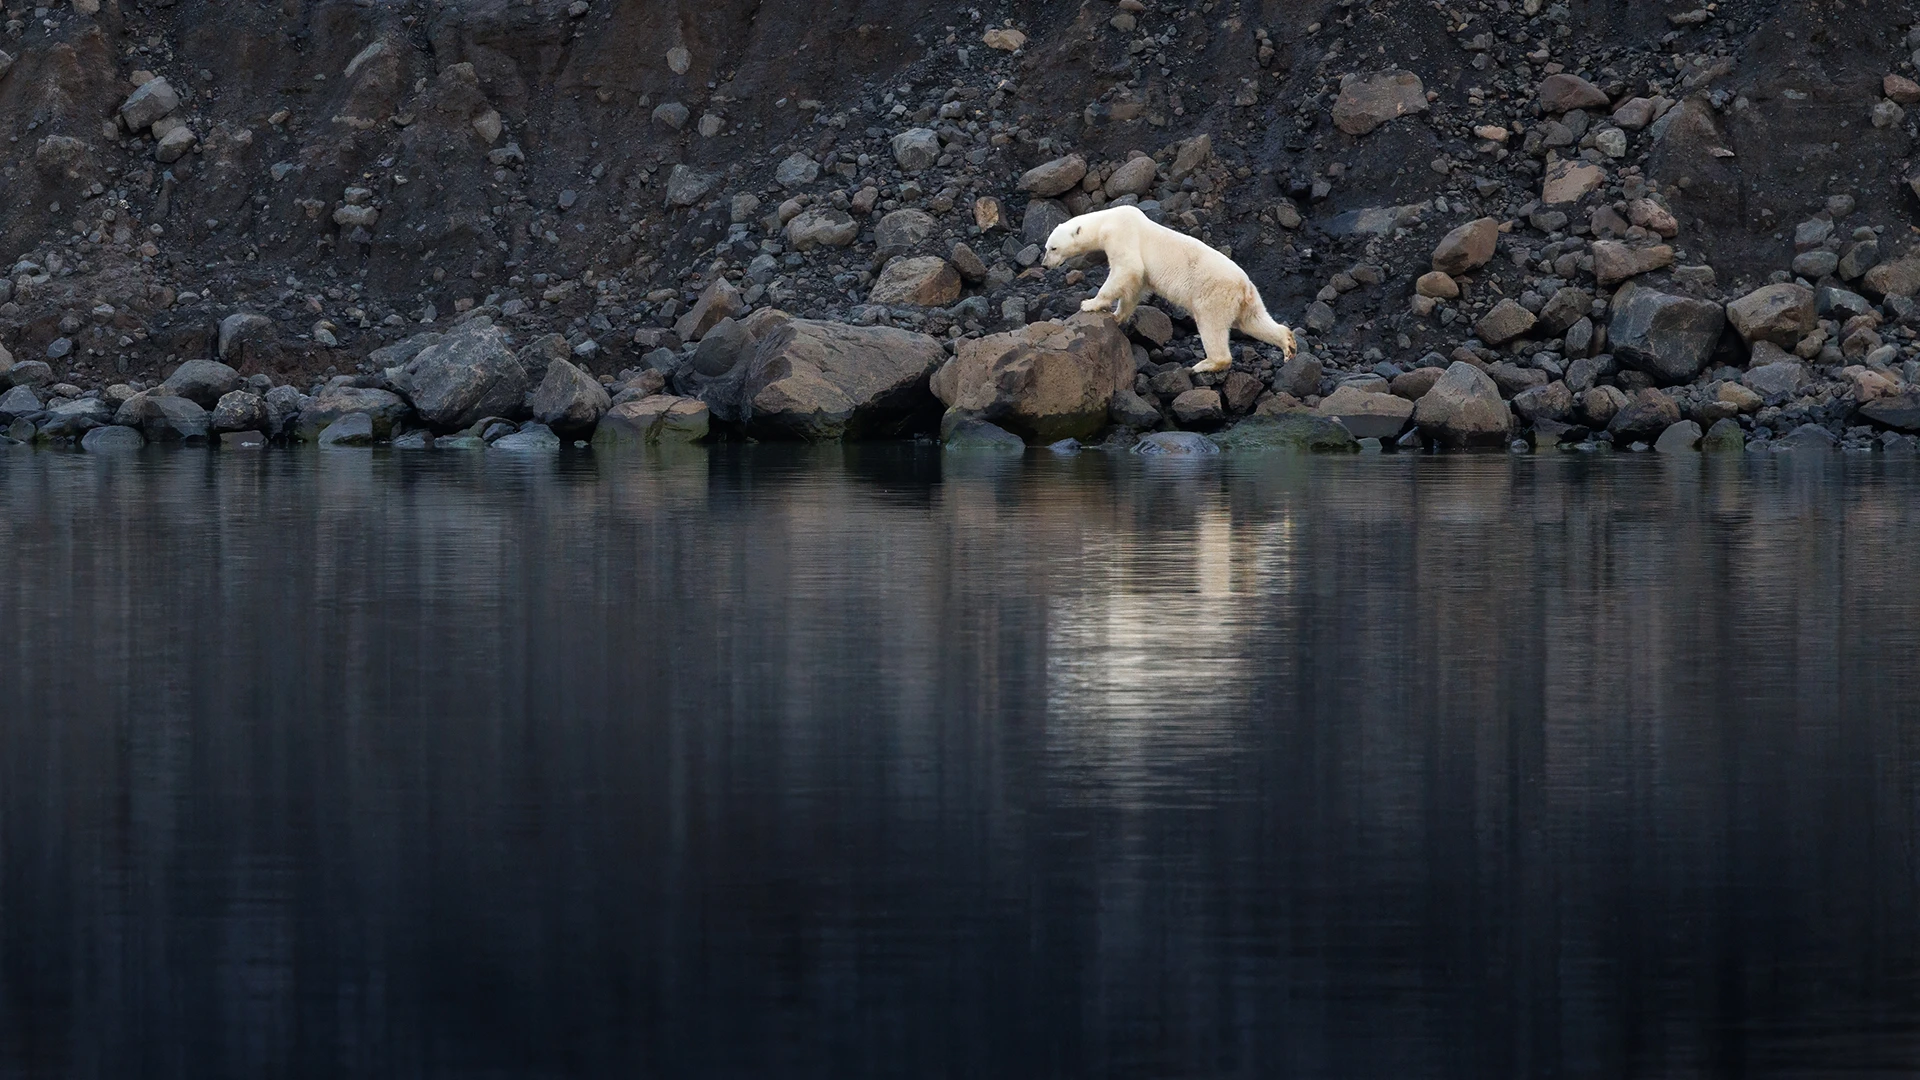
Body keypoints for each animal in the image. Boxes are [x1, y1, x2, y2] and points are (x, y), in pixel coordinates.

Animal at [1042, 204, 1298, 375]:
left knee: (1212, 326)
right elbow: (1135, 287)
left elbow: (1127, 269)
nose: (1044, 264)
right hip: (1246, 299)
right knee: (1254, 321)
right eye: (1047, 247)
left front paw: (1090, 304)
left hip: (1214, 295)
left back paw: (1204, 365)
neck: (1108, 219)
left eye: (1053, 247)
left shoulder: (1122, 236)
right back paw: (1288, 344)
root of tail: (1244, 285)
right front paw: (1117, 316)